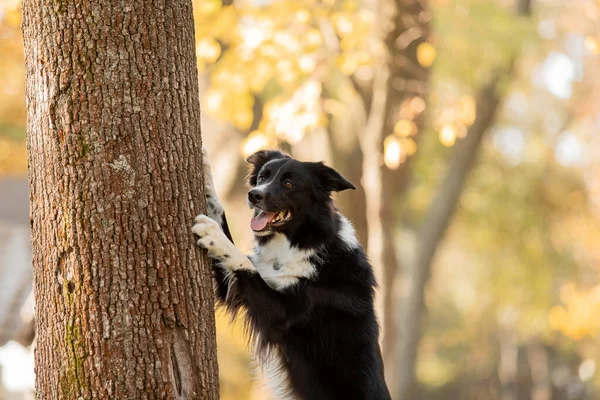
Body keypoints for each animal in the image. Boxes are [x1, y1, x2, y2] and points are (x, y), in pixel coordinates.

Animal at [192, 150, 390, 400]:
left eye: (289, 184)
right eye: (262, 177)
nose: (254, 195)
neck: (299, 242)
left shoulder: (283, 314)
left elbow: (244, 263)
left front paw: (213, 233)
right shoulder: (233, 287)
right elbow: (220, 215)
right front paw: (205, 169)